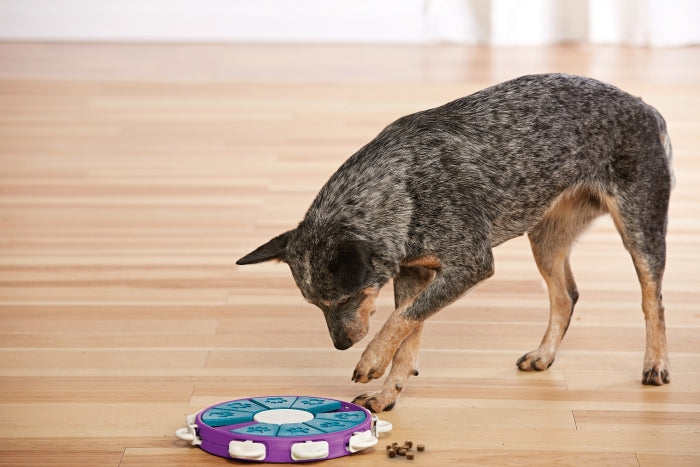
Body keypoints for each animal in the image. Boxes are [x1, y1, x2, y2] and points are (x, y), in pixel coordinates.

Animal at [237, 73, 672, 414]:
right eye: (315, 305)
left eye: (346, 299)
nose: (342, 345)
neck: (403, 185)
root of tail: (646, 106)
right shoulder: (412, 274)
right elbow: (407, 330)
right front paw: (387, 394)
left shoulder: (471, 265)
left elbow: (402, 318)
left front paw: (372, 359)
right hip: (545, 237)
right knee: (566, 295)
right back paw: (544, 355)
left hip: (640, 227)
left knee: (652, 300)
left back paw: (656, 364)